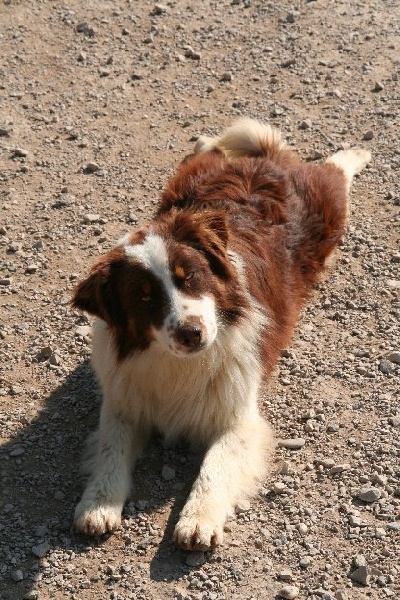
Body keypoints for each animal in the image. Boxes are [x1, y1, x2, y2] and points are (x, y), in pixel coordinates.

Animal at [72, 119, 372, 552]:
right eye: (144, 297)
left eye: (191, 277)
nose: (191, 333)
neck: (179, 364)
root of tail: (267, 164)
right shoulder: (124, 397)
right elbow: (112, 446)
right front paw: (97, 505)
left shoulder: (238, 415)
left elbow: (216, 464)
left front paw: (198, 521)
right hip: (180, 186)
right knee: (218, 146)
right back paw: (204, 140)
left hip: (327, 210)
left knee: (328, 169)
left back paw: (356, 154)